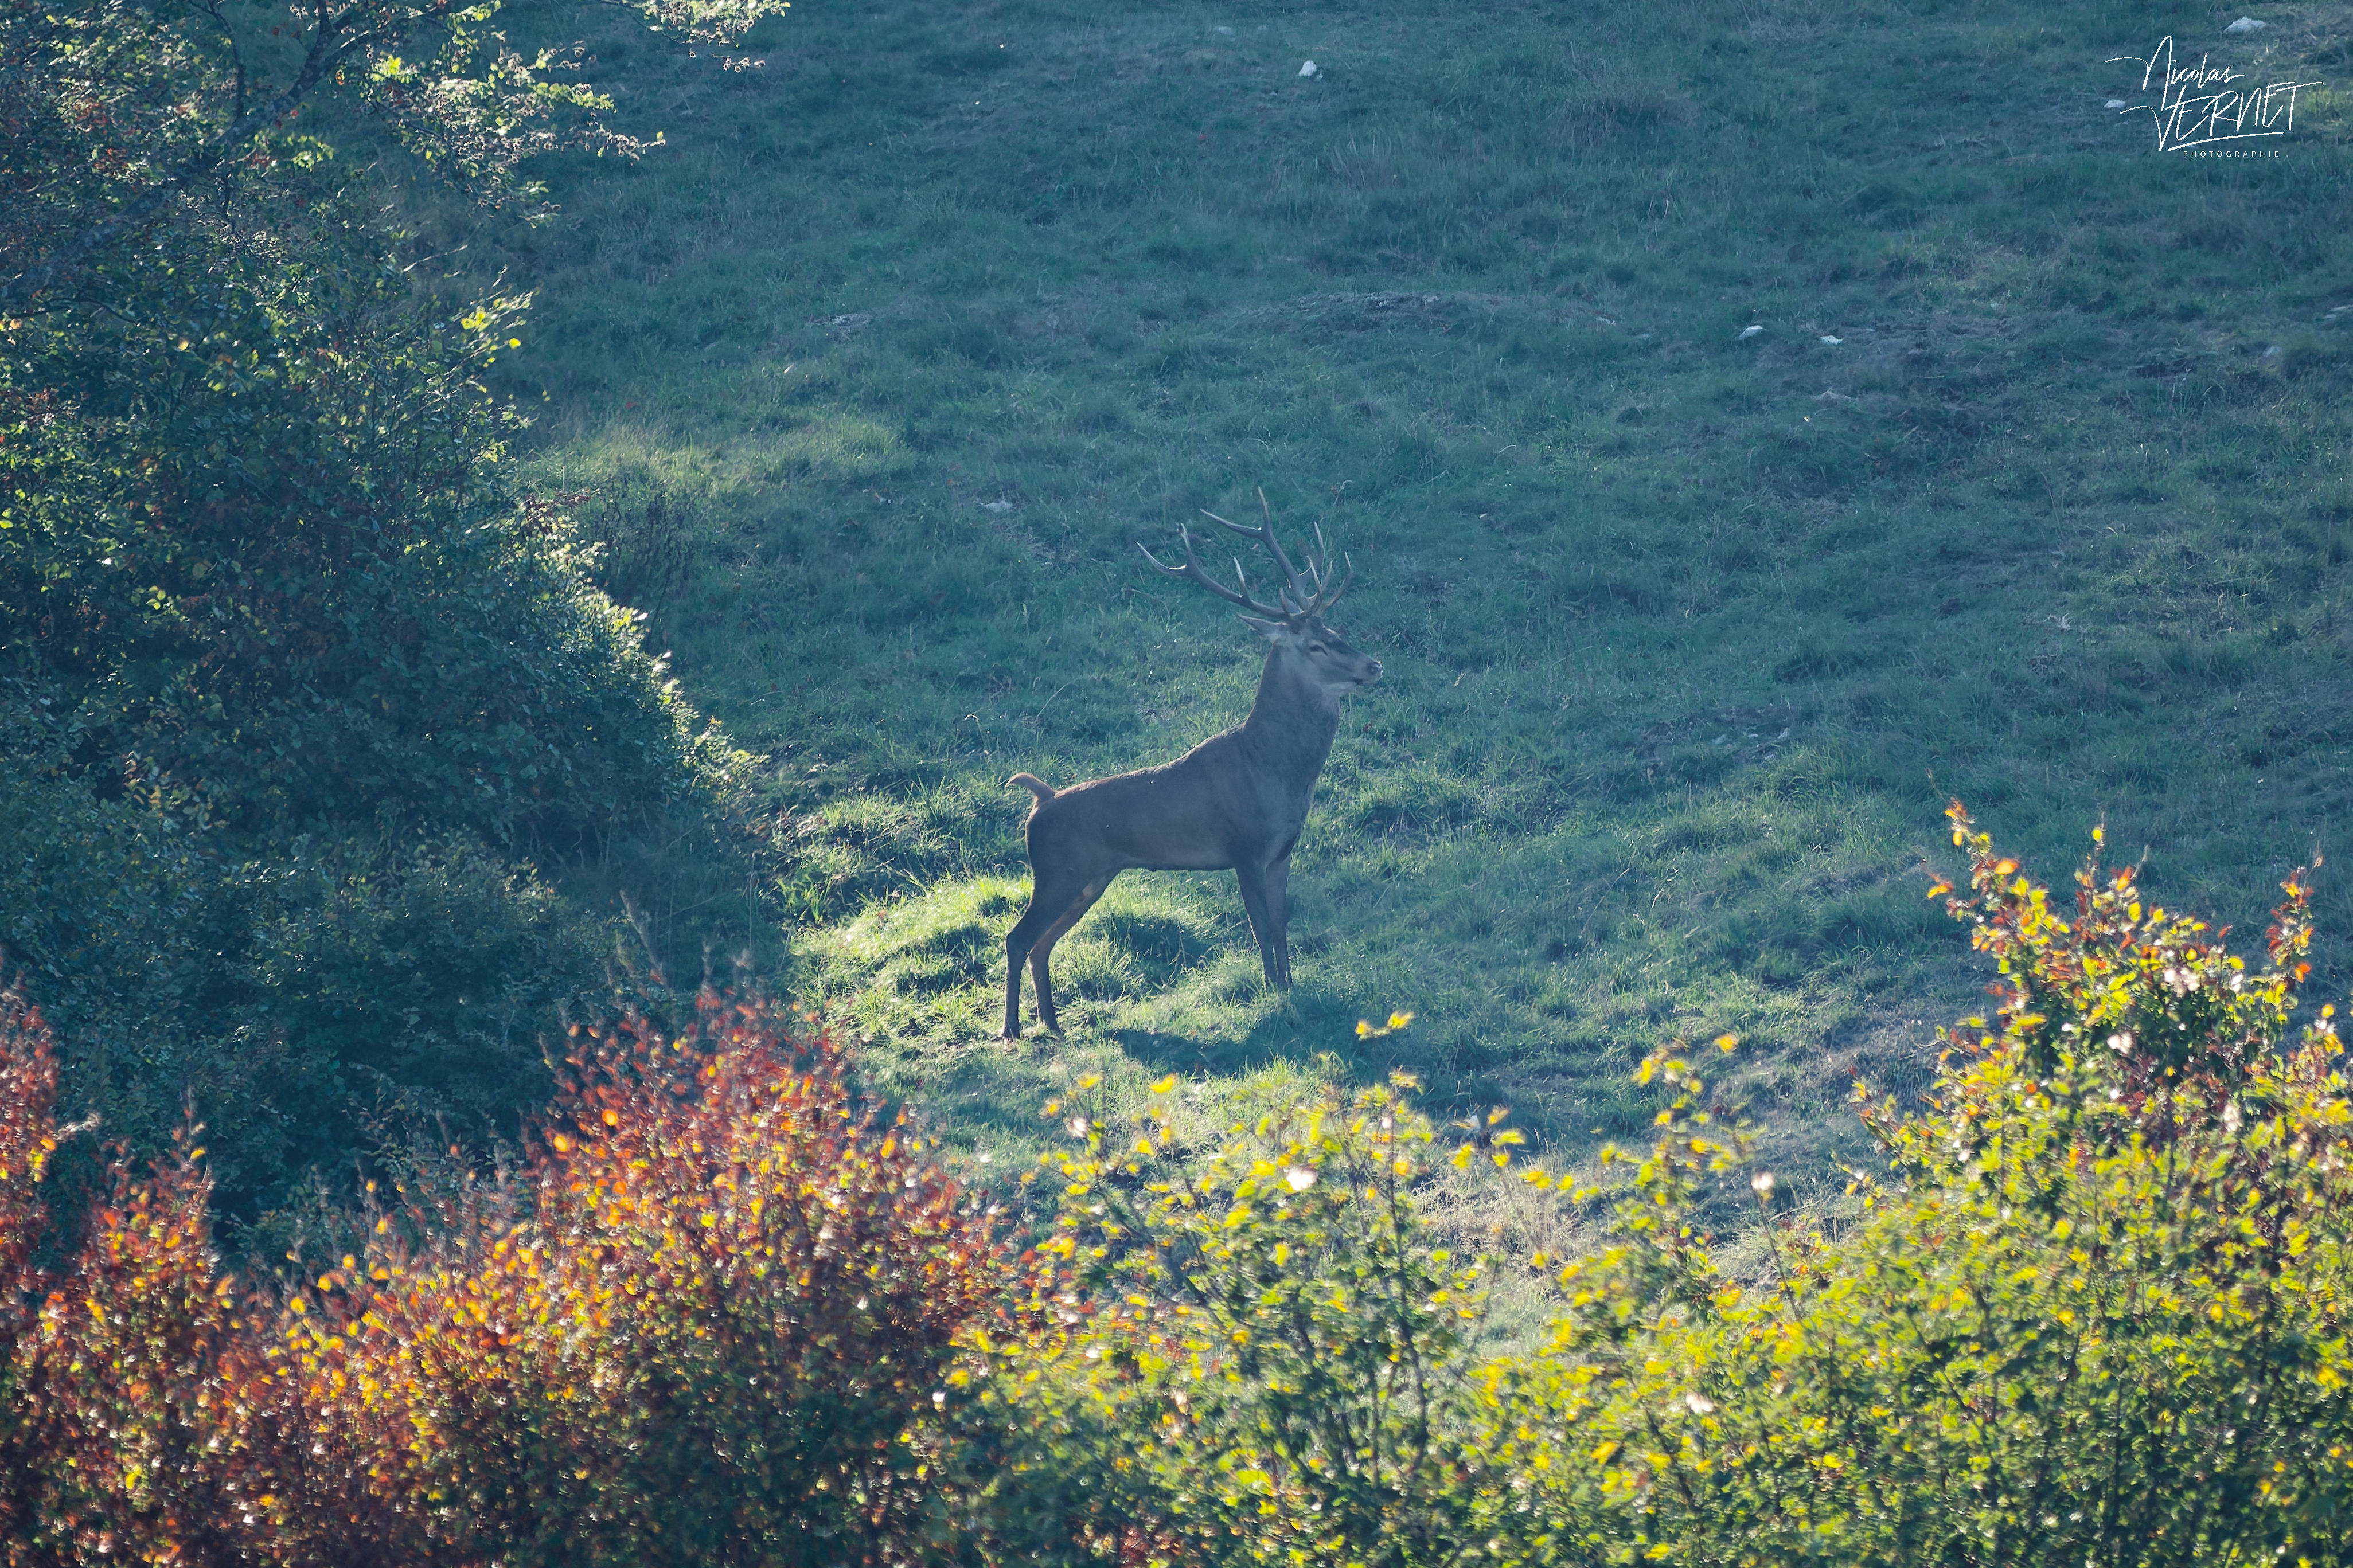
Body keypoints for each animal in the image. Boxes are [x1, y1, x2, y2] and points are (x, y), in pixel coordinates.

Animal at [999, 495, 1381, 1040]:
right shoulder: (1244, 847)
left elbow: (1281, 926)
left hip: (1089, 878)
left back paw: (1052, 1023)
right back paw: (1011, 1028)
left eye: (1336, 630)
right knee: (1017, 937)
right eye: (1315, 645)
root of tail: (1039, 801)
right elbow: (1260, 929)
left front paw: (1291, 988)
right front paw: (1273, 995)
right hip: (1055, 871)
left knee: (1042, 943)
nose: (1373, 666)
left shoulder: (1283, 850)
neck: (1278, 773)